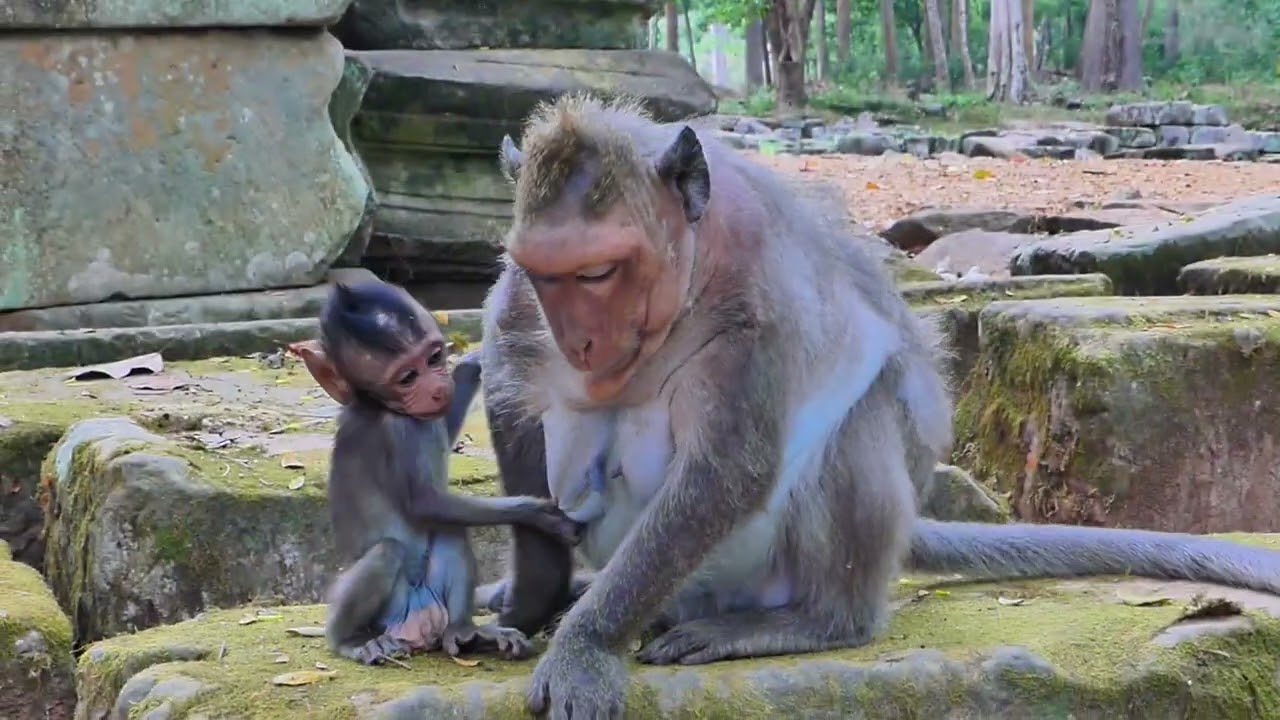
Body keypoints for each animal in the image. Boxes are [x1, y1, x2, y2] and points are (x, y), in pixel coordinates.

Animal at [286, 279, 581, 667]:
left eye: (434, 358)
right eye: (407, 377)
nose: (439, 388)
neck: (379, 405)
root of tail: (417, 626)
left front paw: (472, 364)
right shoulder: (398, 431)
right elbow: (424, 502)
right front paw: (535, 512)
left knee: (450, 531)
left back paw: (465, 631)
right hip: (390, 612)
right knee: (390, 550)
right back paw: (350, 640)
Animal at [466, 93, 1280, 720]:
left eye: (599, 272)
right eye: (550, 275)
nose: (580, 340)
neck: (688, 268)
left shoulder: (756, 305)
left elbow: (730, 468)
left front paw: (587, 644)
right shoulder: (520, 296)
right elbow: (508, 395)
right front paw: (535, 595)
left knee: (856, 426)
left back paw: (814, 621)